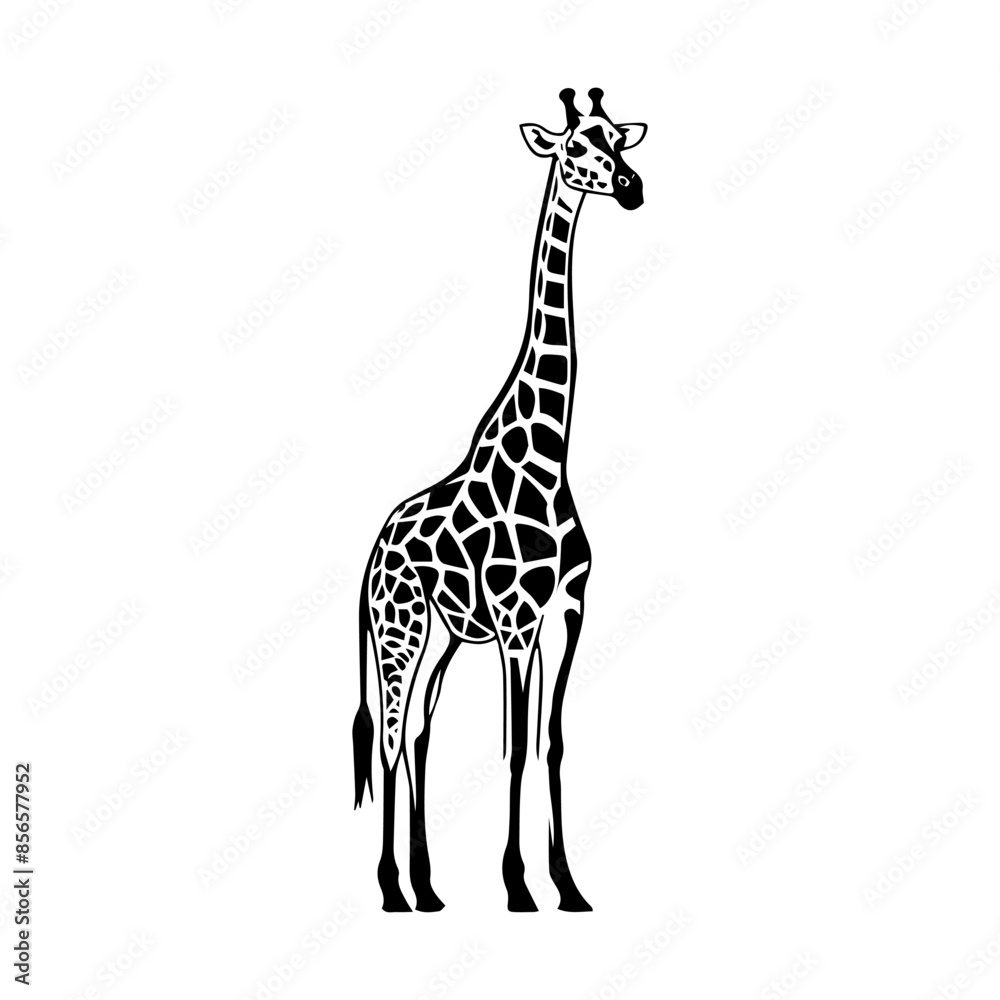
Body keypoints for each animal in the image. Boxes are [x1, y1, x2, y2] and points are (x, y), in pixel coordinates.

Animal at [353, 87, 646, 912]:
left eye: (618, 140)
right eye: (574, 148)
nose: (632, 188)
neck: (547, 460)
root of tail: (371, 553)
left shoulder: (567, 612)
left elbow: (550, 740)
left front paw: (568, 886)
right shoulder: (516, 620)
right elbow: (512, 743)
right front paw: (517, 886)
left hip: (444, 638)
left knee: (419, 733)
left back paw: (426, 886)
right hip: (400, 629)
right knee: (391, 737)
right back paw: (391, 889)